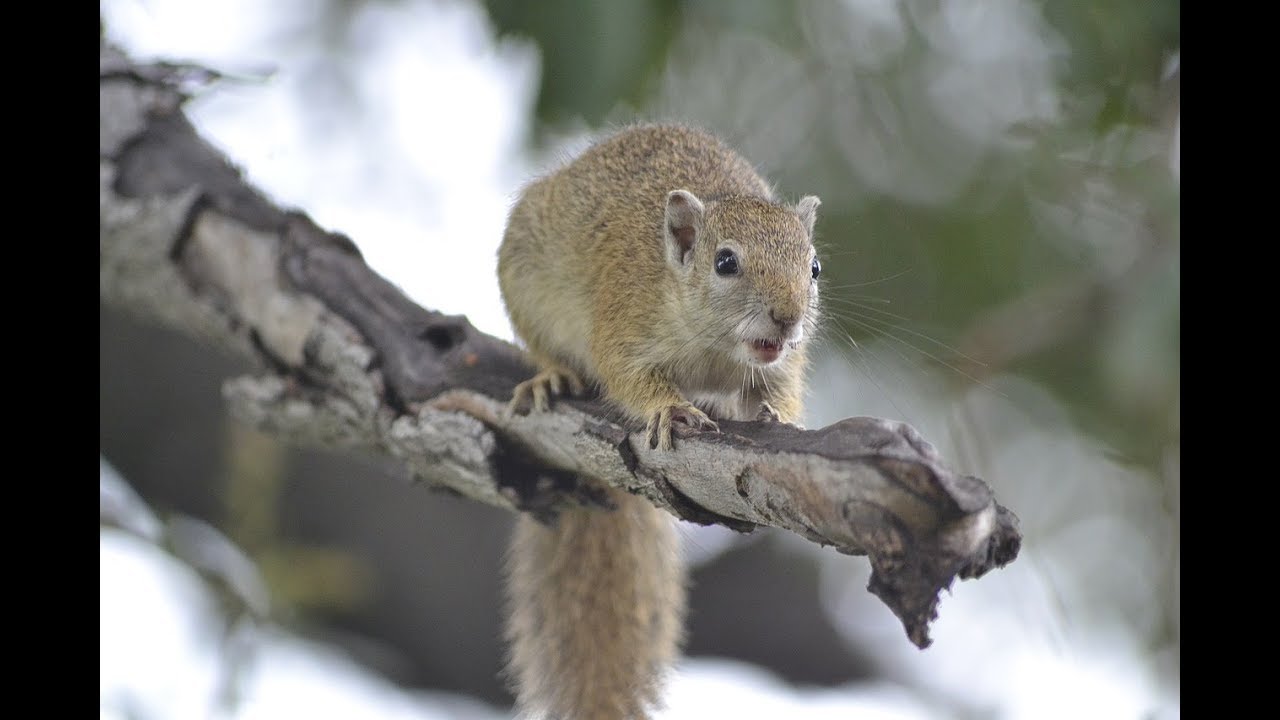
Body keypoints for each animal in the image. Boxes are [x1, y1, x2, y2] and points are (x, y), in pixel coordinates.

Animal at [497, 123, 821, 720]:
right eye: (725, 262)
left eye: (813, 268)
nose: (788, 318)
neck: (716, 349)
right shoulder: (625, 325)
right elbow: (626, 377)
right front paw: (669, 408)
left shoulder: (781, 363)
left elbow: (780, 391)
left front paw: (779, 417)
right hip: (524, 279)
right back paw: (550, 376)